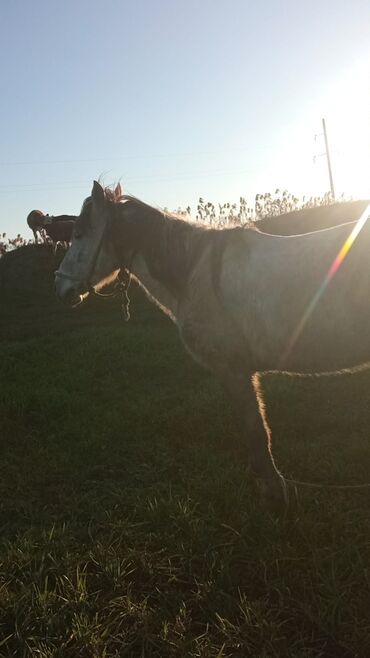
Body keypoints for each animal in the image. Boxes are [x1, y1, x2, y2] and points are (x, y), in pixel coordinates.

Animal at [55, 182, 370, 510]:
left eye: (79, 233)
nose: (60, 287)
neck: (196, 273)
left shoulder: (234, 371)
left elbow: (256, 432)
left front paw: (275, 496)